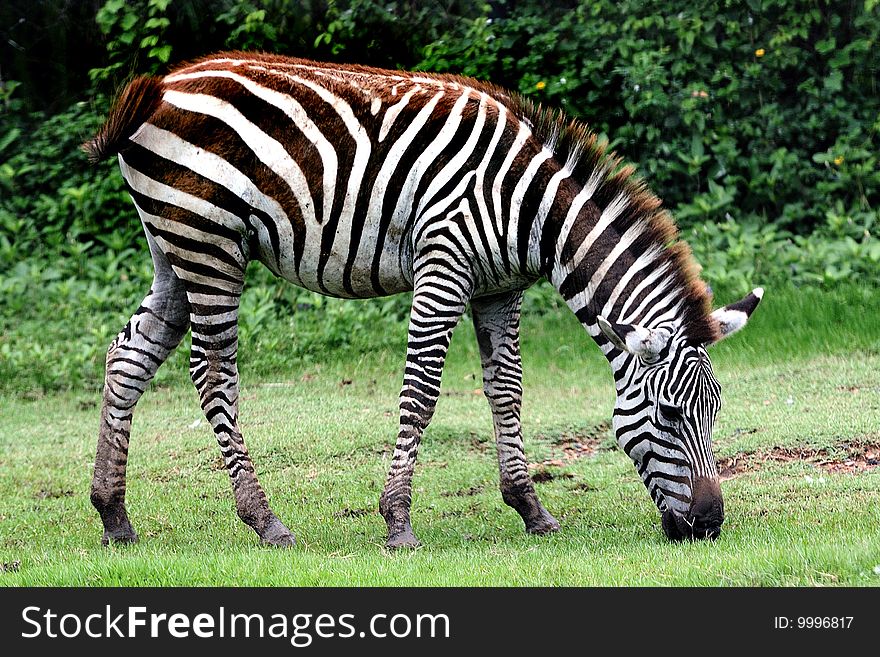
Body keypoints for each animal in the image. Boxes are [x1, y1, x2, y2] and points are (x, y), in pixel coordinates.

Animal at [86, 53, 764, 548]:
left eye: (716, 413)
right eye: (669, 416)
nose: (709, 528)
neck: (531, 209)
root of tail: (162, 84)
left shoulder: (499, 288)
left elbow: (506, 389)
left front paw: (531, 509)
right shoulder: (444, 262)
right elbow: (422, 392)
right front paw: (397, 523)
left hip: (173, 247)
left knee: (128, 357)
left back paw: (114, 517)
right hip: (209, 243)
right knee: (213, 372)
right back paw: (265, 520)